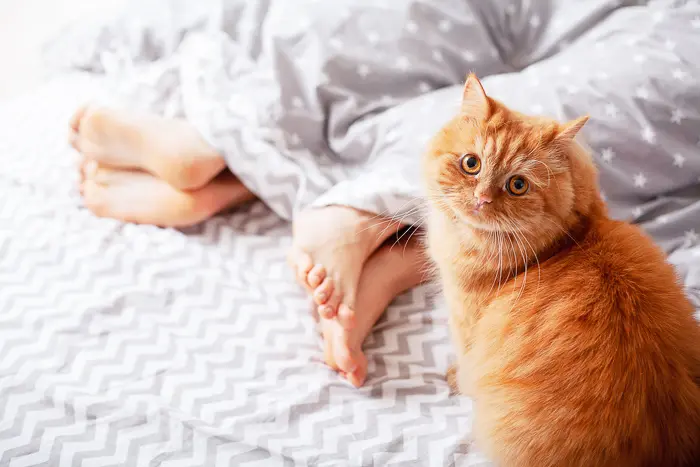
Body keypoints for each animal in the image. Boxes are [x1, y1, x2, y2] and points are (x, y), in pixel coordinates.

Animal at [424, 74, 700, 467]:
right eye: (471, 164)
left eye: (517, 185)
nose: (481, 199)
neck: (573, 238)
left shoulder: (466, 322)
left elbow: (464, 367)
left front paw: (454, 379)